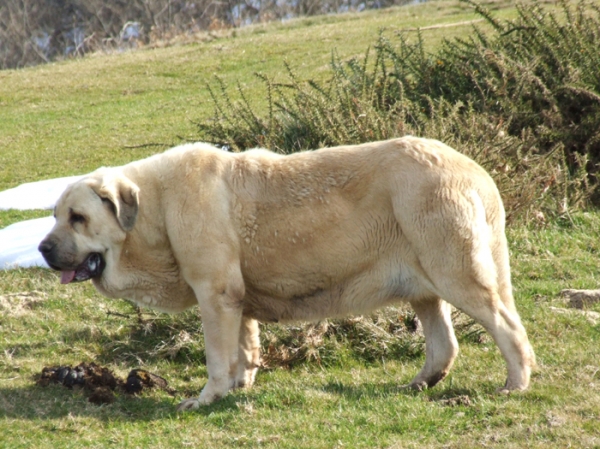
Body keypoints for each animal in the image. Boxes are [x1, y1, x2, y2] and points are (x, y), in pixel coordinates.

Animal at [38, 136, 536, 410]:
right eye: (55, 215)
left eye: (78, 218)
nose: (42, 249)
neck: (155, 212)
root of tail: (475, 171)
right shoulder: (236, 299)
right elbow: (243, 346)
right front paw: (239, 386)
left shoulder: (214, 293)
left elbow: (217, 354)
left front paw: (207, 397)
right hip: (424, 280)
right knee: (443, 340)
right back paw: (421, 382)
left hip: (457, 270)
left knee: (507, 326)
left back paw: (515, 385)